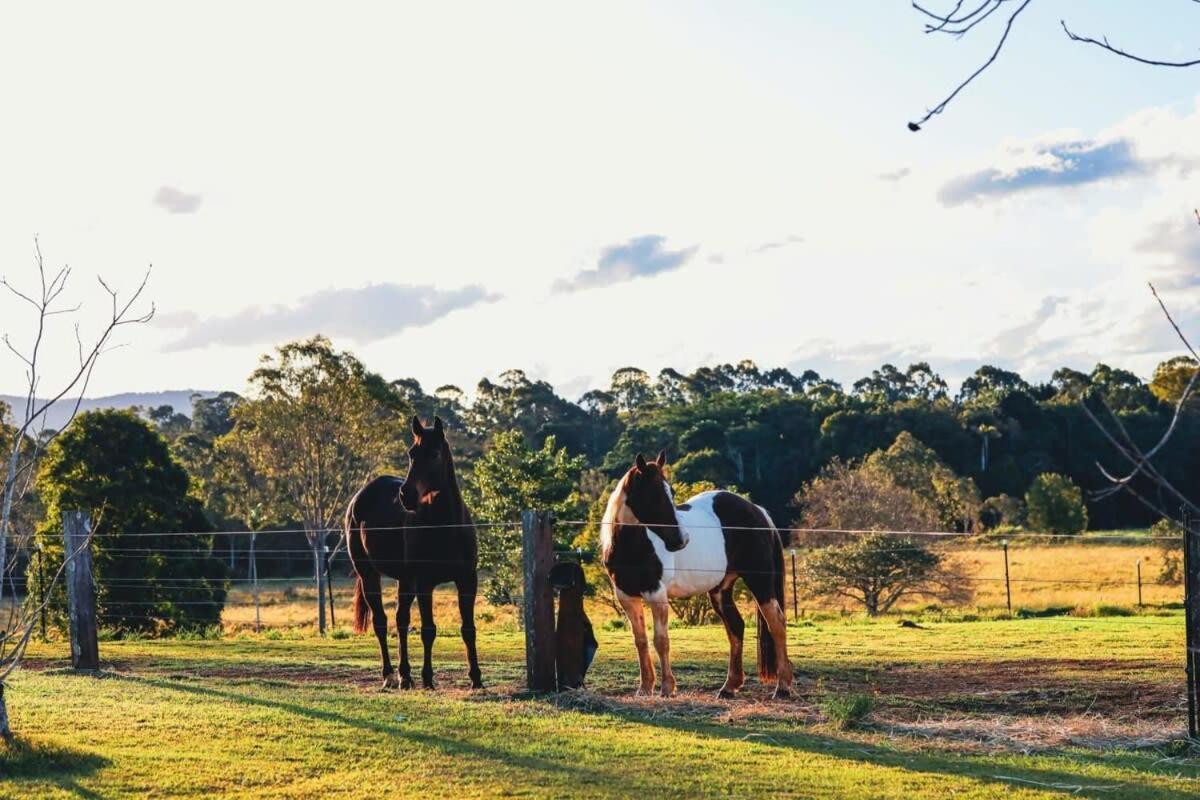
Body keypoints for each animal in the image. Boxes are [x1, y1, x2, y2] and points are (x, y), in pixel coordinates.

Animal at [345, 417, 480, 690]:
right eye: (411, 454)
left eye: (434, 453)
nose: (406, 495)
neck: (446, 527)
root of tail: (359, 497)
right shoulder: (425, 584)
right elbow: (429, 630)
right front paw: (428, 678)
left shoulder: (467, 580)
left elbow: (468, 628)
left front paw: (476, 678)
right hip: (369, 575)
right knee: (381, 622)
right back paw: (388, 675)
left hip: (405, 580)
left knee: (401, 620)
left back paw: (405, 676)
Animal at [600, 453, 796, 695]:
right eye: (653, 495)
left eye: (671, 492)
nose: (681, 540)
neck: (634, 546)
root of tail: (757, 511)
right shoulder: (626, 596)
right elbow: (641, 640)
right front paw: (645, 688)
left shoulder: (657, 594)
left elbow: (661, 640)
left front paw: (667, 688)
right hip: (721, 590)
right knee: (736, 626)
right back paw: (729, 687)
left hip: (760, 581)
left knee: (776, 623)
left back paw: (783, 686)